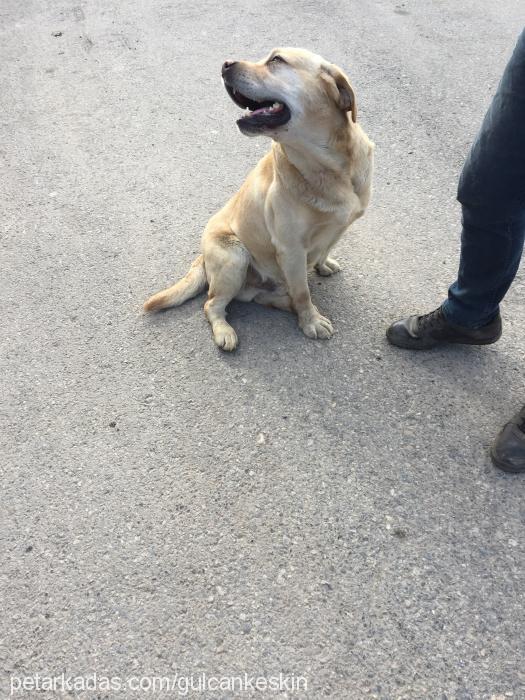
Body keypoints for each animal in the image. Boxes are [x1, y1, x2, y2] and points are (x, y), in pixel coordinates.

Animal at [143, 47, 372, 350]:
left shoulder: (339, 227)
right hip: (235, 257)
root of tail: (201, 258)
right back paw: (225, 331)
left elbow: (325, 250)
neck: (328, 168)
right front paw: (310, 320)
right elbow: (303, 292)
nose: (225, 64)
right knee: (212, 304)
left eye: (276, 60)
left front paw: (324, 265)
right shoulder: (291, 249)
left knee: (262, 296)